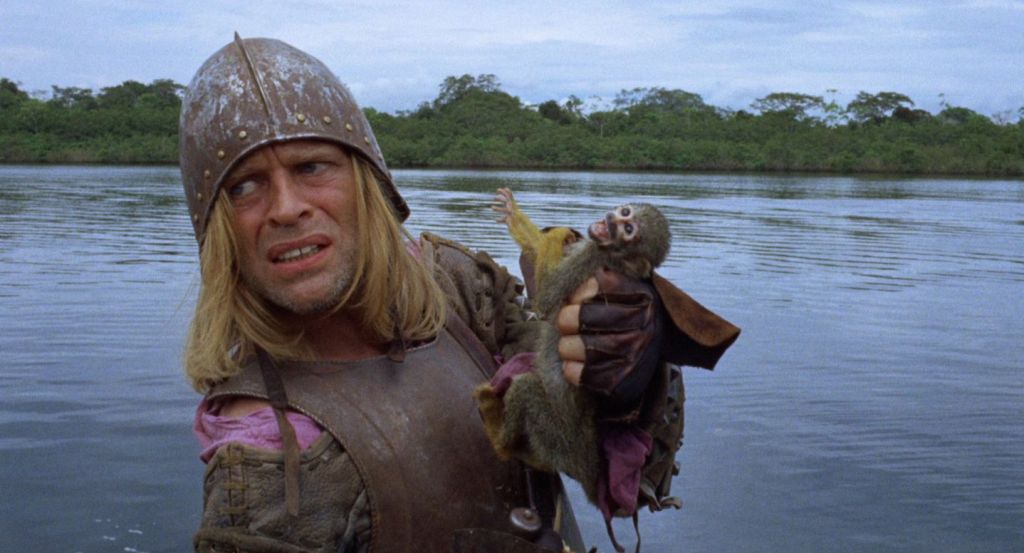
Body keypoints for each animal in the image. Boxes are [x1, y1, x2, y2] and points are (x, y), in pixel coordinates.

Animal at [477, 189, 671, 506]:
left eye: (628, 229)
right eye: (626, 212)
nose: (611, 219)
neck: (611, 256)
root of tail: (588, 462)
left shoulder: (590, 260)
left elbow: (547, 297)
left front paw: (555, 237)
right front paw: (516, 216)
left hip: (559, 438)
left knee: (526, 390)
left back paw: (501, 441)